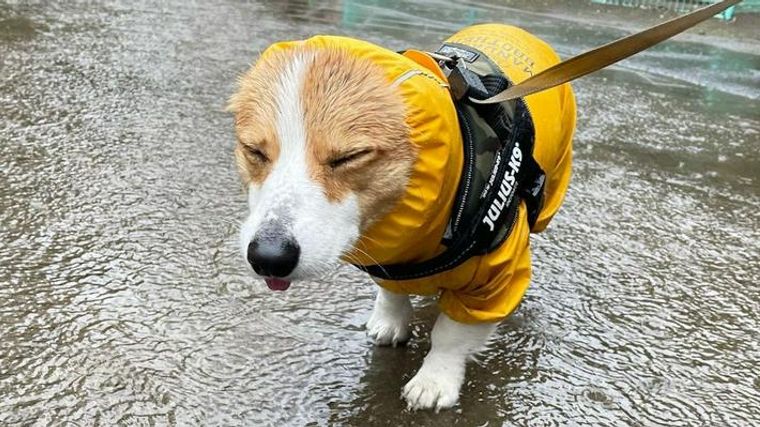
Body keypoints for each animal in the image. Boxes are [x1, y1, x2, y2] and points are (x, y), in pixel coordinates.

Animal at [227, 24, 576, 412]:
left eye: (349, 157)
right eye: (254, 151)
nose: (268, 258)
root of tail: (511, 28)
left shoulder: (494, 279)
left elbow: (451, 335)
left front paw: (434, 381)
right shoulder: (389, 263)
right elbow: (392, 293)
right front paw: (391, 322)